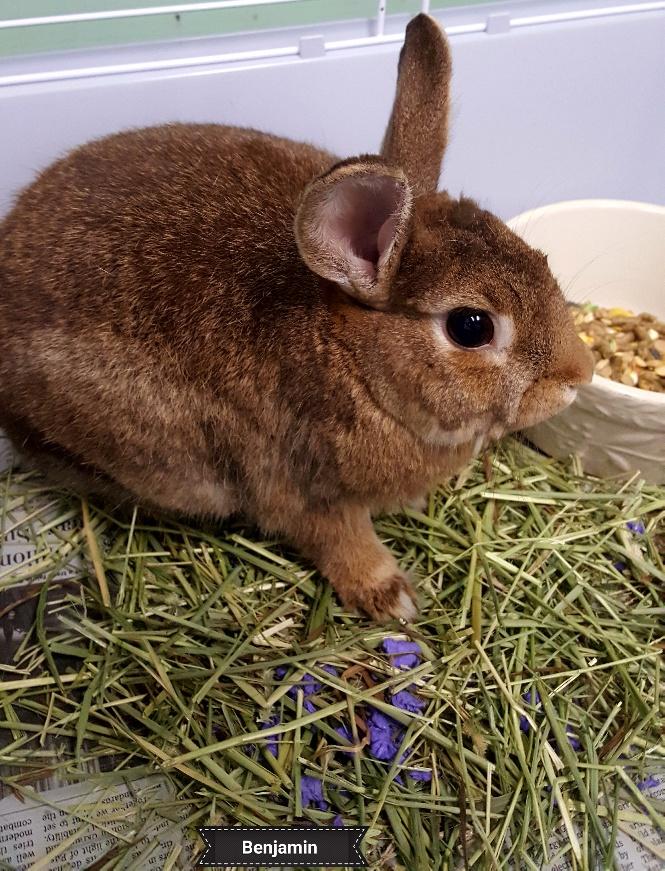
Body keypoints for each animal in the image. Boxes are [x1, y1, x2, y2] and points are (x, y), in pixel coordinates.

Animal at [0, 14, 593, 622]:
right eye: (471, 326)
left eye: (539, 258)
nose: (579, 374)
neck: (353, 360)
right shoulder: (305, 491)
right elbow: (341, 542)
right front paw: (394, 599)